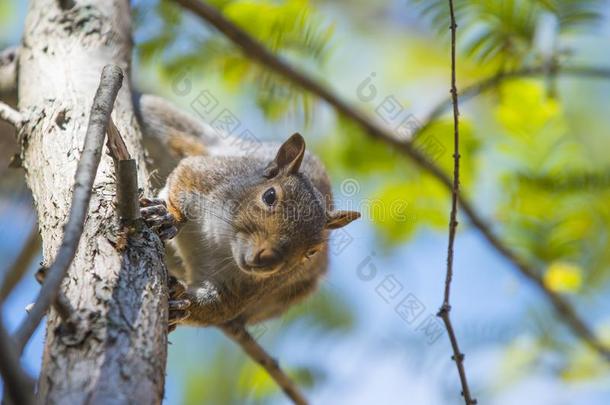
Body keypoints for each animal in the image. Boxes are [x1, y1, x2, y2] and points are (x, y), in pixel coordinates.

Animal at [135, 96, 358, 330]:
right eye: (269, 196)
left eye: (312, 252)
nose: (268, 260)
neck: (223, 241)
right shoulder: (207, 177)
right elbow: (182, 179)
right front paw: (168, 216)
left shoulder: (244, 288)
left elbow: (216, 307)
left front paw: (180, 303)